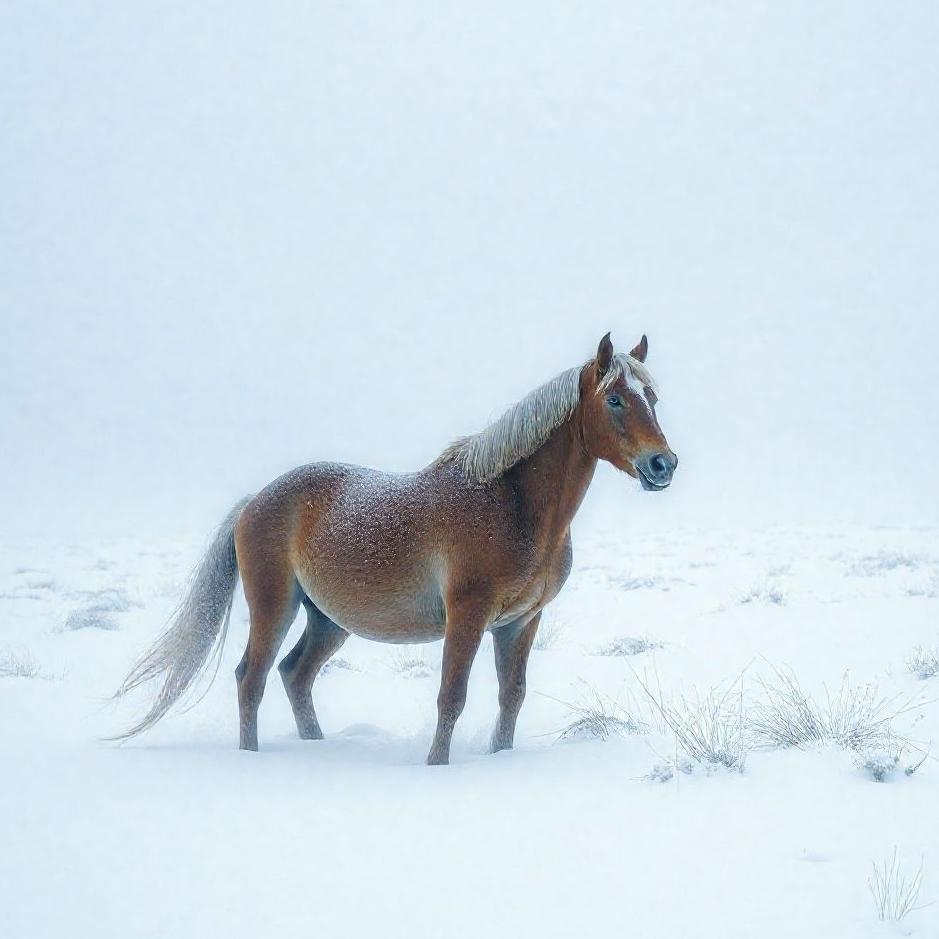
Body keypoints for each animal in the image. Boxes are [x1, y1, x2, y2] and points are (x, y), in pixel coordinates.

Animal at [113, 332, 677, 764]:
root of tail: (255, 501)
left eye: (652, 398)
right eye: (615, 399)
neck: (512, 503)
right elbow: (452, 697)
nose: (662, 465)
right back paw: (251, 759)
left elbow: (510, 698)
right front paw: (436, 767)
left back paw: (316, 748)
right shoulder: (467, 615)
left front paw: (500, 760)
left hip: (327, 620)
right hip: (275, 607)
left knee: (295, 675)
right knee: (251, 679)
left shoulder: (520, 622)